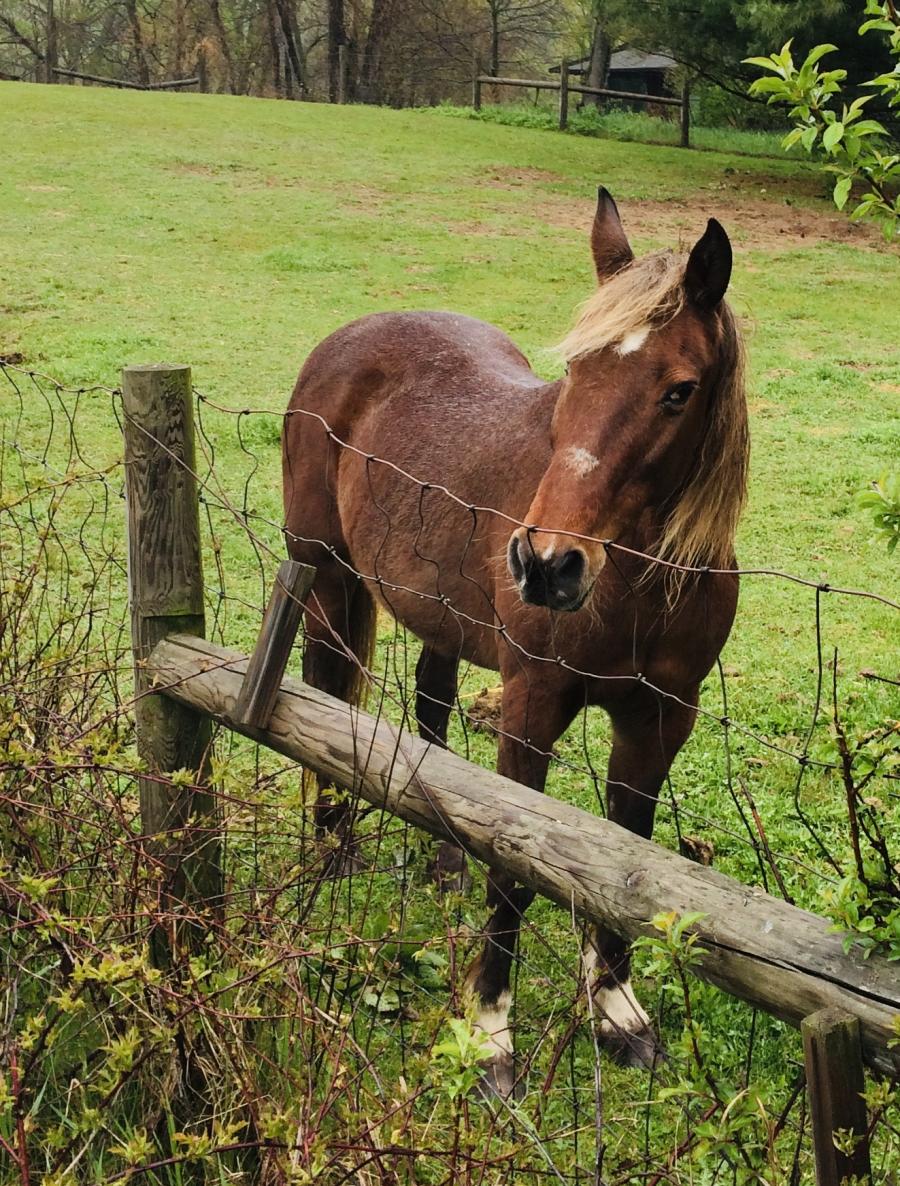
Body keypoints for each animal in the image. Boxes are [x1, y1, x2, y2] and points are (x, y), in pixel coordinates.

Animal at [284, 189, 749, 1095]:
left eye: (678, 391)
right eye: (576, 372)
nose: (546, 565)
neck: (638, 585)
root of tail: (348, 340)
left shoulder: (660, 720)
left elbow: (627, 857)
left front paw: (616, 1011)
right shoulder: (532, 705)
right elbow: (514, 871)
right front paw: (490, 1033)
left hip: (436, 615)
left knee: (431, 715)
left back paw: (440, 862)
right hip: (324, 578)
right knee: (323, 699)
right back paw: (331, 846)